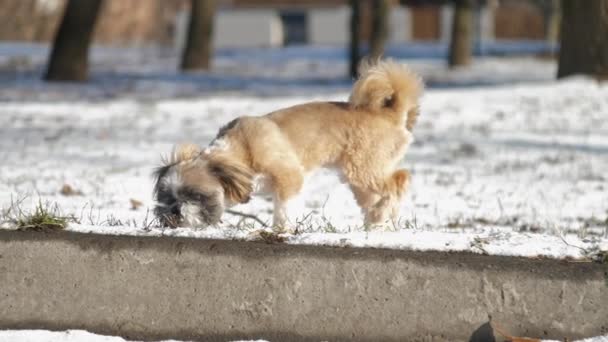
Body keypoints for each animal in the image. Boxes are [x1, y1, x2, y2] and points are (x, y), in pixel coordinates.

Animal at [152, 59, 422, 230]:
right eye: (166, 198)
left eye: (195, 195)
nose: (174, 211)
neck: (241, 151)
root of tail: (389, 113)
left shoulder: (289, 176)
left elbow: (283, 205)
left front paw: (281, 228)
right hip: (358, 178)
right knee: (376, 198)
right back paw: (376, 222)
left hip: (363, 168)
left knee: (399, 181)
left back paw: (383, 212)